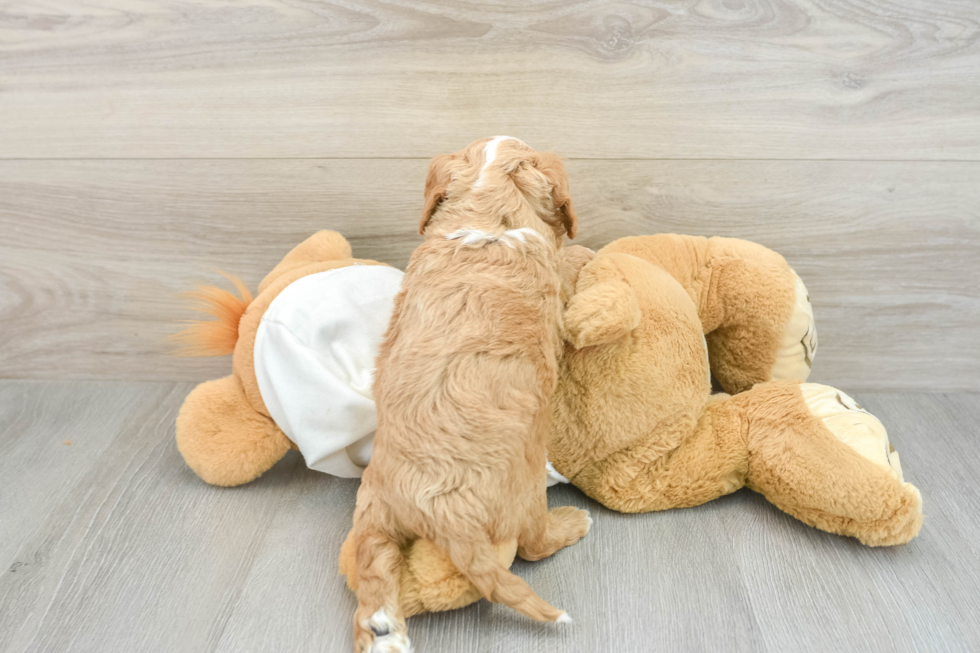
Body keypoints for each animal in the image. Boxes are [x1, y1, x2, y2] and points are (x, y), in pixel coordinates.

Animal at [348, 135, 588, 648]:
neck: (485, 221)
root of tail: (440, 514)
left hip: (372, 511)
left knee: (374, 576)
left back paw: (385, 634)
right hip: (526, 490)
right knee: (533, 545)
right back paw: (573, 522)